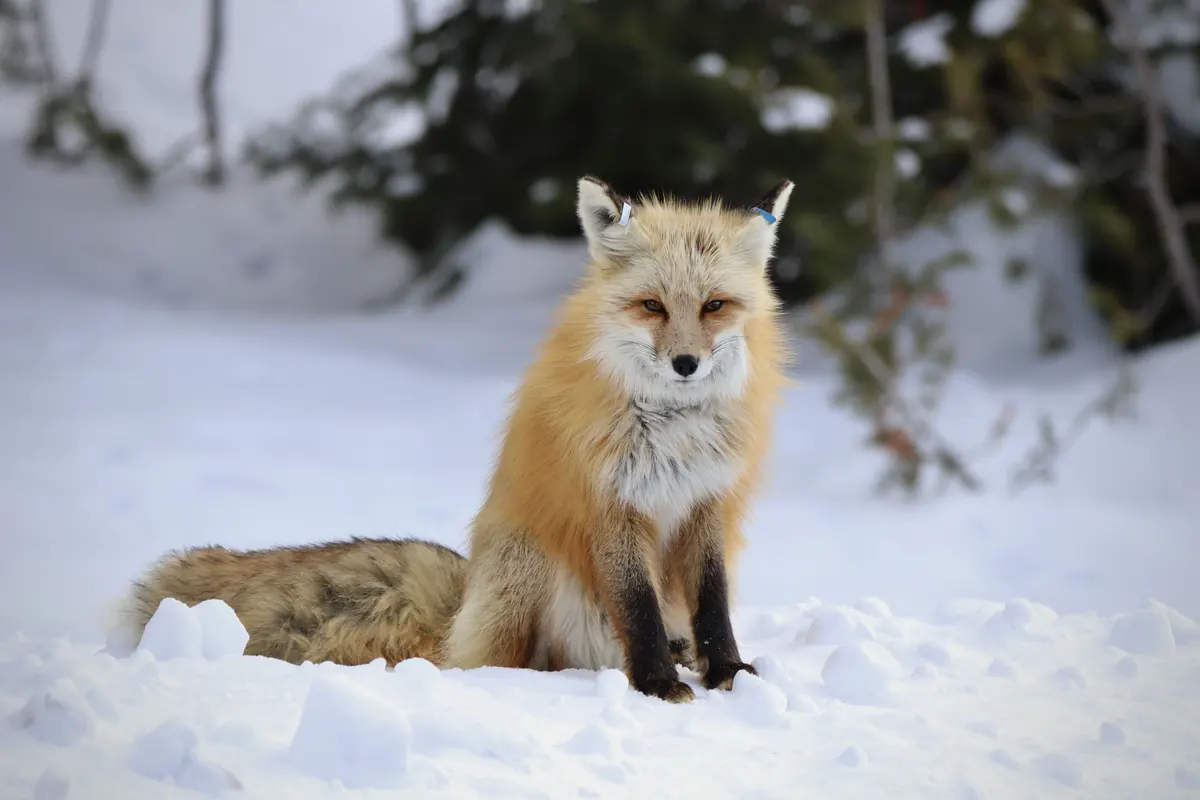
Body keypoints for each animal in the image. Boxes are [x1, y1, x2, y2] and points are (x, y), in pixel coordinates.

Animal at [438, 175, 793, 703]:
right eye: (652, 305)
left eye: (713, 305)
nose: (686, 363)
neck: (674, 437)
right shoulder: (610, 503)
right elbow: (638, 604)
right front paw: (657, 682)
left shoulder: (707, 501)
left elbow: (712, 601)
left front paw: (727, 669)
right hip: (525, 569)